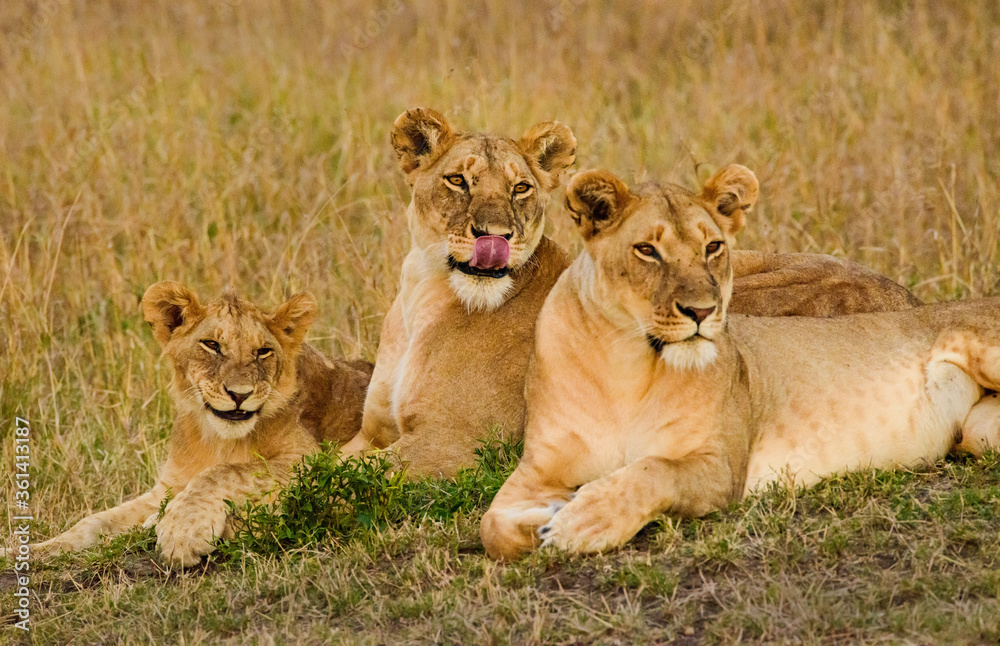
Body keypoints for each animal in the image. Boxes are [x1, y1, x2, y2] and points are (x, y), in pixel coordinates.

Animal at [2, 282, 372, 567]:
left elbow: (222, 472)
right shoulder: (166, 487)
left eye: (263, 351)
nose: (240, 394)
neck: (217, 439)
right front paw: (28, 551)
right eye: (212, 345)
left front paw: (181, 533)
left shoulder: (314, 460)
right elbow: (93, 521)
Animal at [342, 108, 919, 479]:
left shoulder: (456, 442)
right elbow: (329, 461)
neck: (425, 294)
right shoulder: (373, 432)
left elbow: (338, 479)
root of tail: (912, 302)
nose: (496, 236)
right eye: (458, 181)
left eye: (520, 188)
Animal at [481, 166, 1000, 560]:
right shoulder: (541, 467)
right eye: (647, 250)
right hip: (979, 434)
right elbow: (492, 526)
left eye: (713, 247)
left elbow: (652, 472)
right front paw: (550, 517)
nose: (703, 311)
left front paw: (583, 521)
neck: (624, 360)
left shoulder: (720, 466)